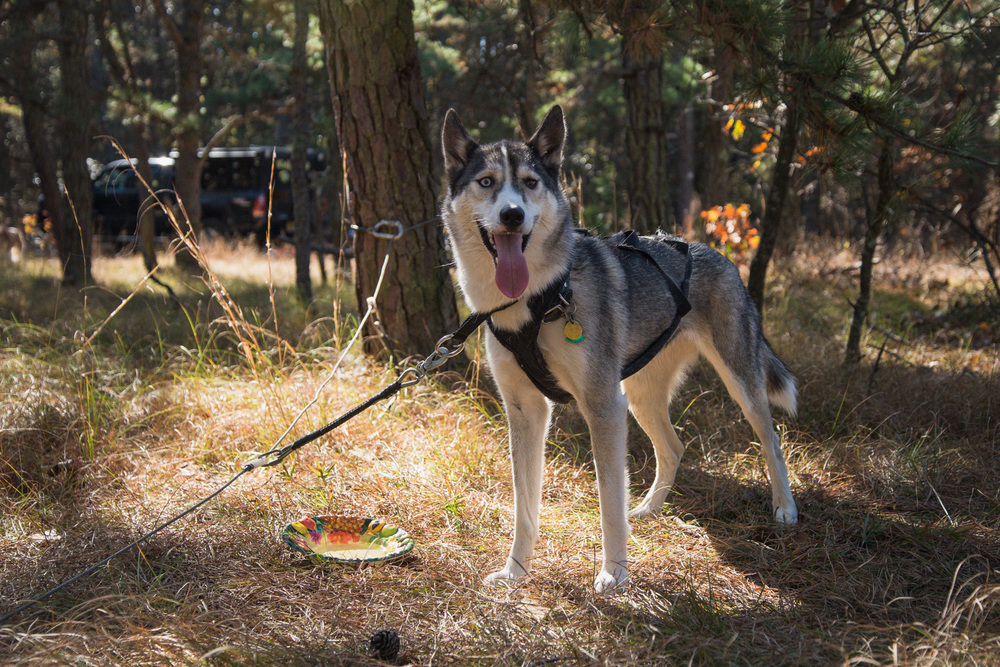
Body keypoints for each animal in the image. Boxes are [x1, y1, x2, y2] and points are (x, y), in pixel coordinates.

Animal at [438, 105, 796, 596]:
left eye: (529, 183)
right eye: (487, 181)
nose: (512, 215)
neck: (538, 300)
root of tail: (717, 254)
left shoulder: (603, 407)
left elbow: (609, 501)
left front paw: (615, 573)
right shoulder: (526, 411)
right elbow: (524, 509)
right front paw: (516, 572)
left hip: (736, 383)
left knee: (772, 440)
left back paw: (785, 510)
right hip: (641, 396)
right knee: (674, 448)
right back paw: (647, 509)